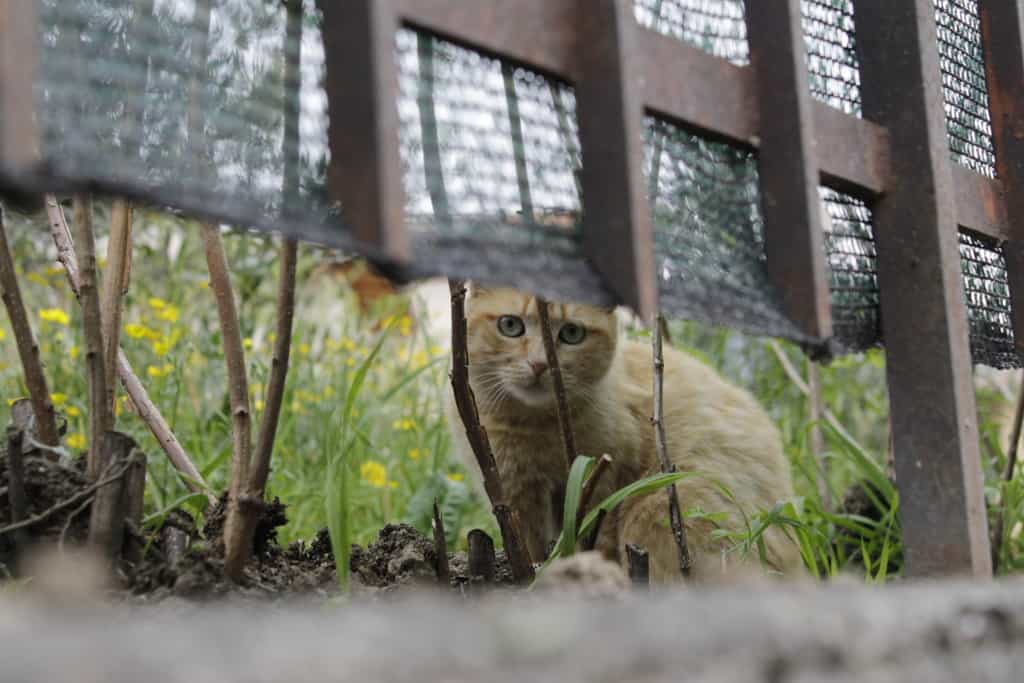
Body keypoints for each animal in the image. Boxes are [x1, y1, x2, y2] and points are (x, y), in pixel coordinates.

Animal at [448, 286, 806, 585]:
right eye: (510, 326)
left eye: (572, 333)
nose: (538, 364)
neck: (535, 426)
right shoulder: (517, 499)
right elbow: (531, 552)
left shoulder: (605, 484)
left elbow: (595, 542)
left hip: (657, 508)